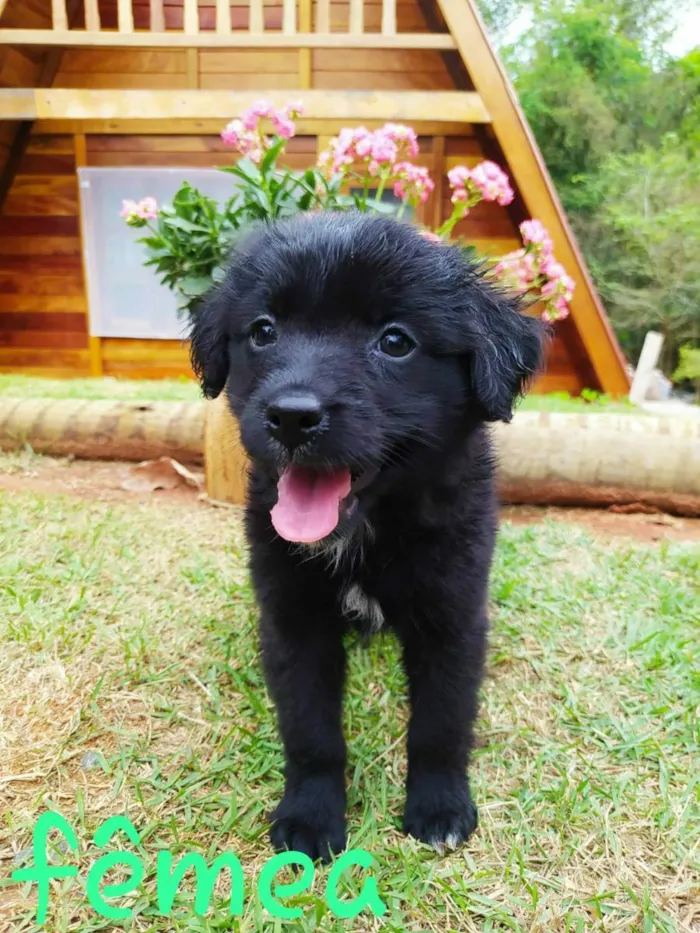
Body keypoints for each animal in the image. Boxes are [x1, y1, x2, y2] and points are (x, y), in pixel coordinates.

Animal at [191, 211, 548, 860]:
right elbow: (311, 732)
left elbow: (440, 722)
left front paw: (439, 808)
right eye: (263, 331)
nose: (291, 417)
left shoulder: (453, 619)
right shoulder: (293, 622)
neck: (366, 534)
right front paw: (310, 816)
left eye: (395, 341)